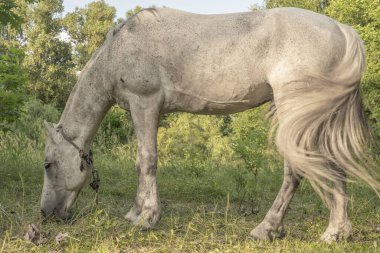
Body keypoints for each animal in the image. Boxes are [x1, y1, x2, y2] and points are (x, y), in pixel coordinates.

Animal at [40, 6, 378, 242]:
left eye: (47, 164)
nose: (45, 214)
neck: (118, 50)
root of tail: (343, 30)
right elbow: (142, 162)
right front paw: (136, 211)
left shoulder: (144, 103)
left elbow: (146, 160)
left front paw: (147, 217)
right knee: (332, 166)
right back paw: (335, 232)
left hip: (295, 114)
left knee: (297, 169)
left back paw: (268, 229)